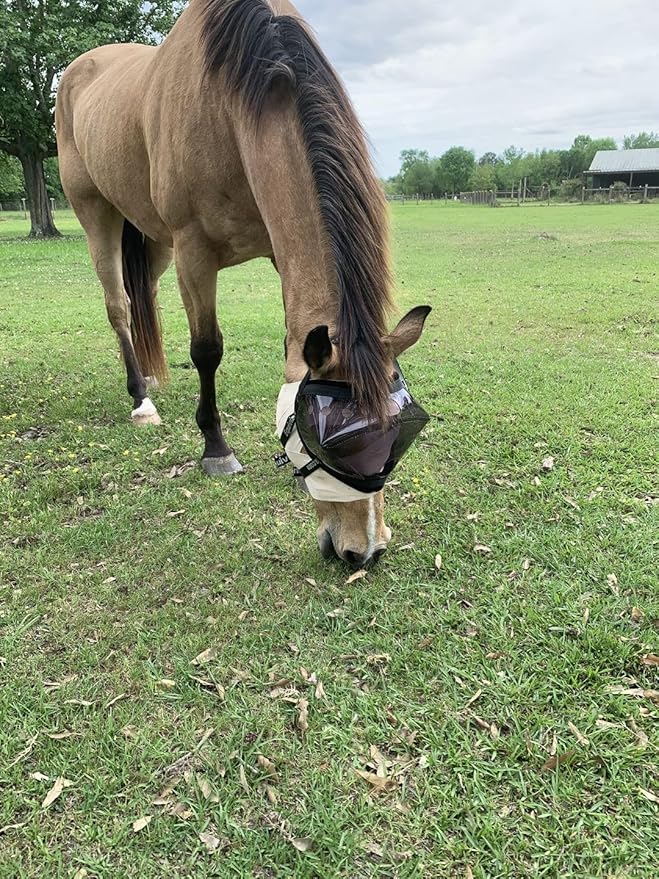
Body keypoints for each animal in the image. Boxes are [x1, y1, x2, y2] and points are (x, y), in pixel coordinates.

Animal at [55, 0, 430, 567]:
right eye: (329, 442)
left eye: (396, 436)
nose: (364, 551)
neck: (229, 105)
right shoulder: (193, 251)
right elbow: (206, 350)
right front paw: (217, 449)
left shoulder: (277, 250)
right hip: (96, 213)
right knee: (118, 305)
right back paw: (141, 399)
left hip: (153, 240)